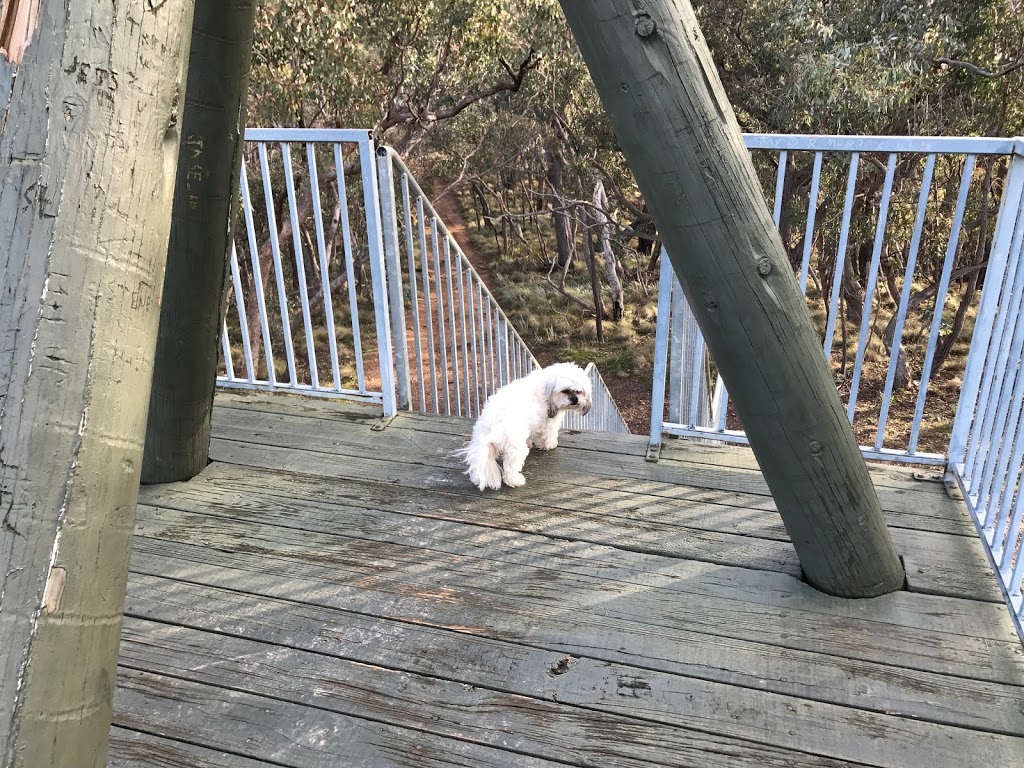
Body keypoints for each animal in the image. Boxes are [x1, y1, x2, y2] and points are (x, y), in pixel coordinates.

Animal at [456, 362, 593, 493]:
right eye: (565, 391)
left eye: (579, 391)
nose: (575, 399)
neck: (546, 385)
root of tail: (493, 427)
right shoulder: (549, 421)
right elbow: (548, 434)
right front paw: (549, 444)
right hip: (515, 447)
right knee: (510, 467)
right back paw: (515, 480)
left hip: (480, 445)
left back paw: (477, 478)